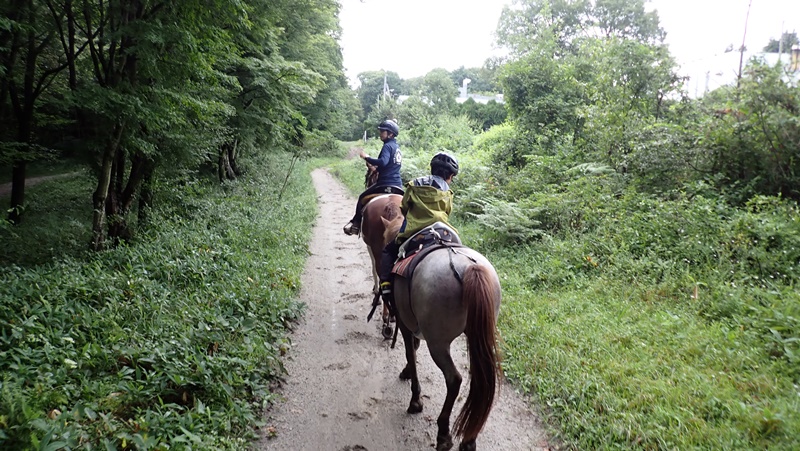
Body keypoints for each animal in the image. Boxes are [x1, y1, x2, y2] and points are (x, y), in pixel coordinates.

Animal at [382, 207, 506, 450]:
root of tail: (469, 268)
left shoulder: (405, 324)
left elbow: (411, 353)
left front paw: (415, 400)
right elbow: (414, 350)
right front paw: (407, 373)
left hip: (438, 343)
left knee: (454, 379)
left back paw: (443, 433)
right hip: (477, 337)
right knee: (480, 382)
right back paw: (469, 439)